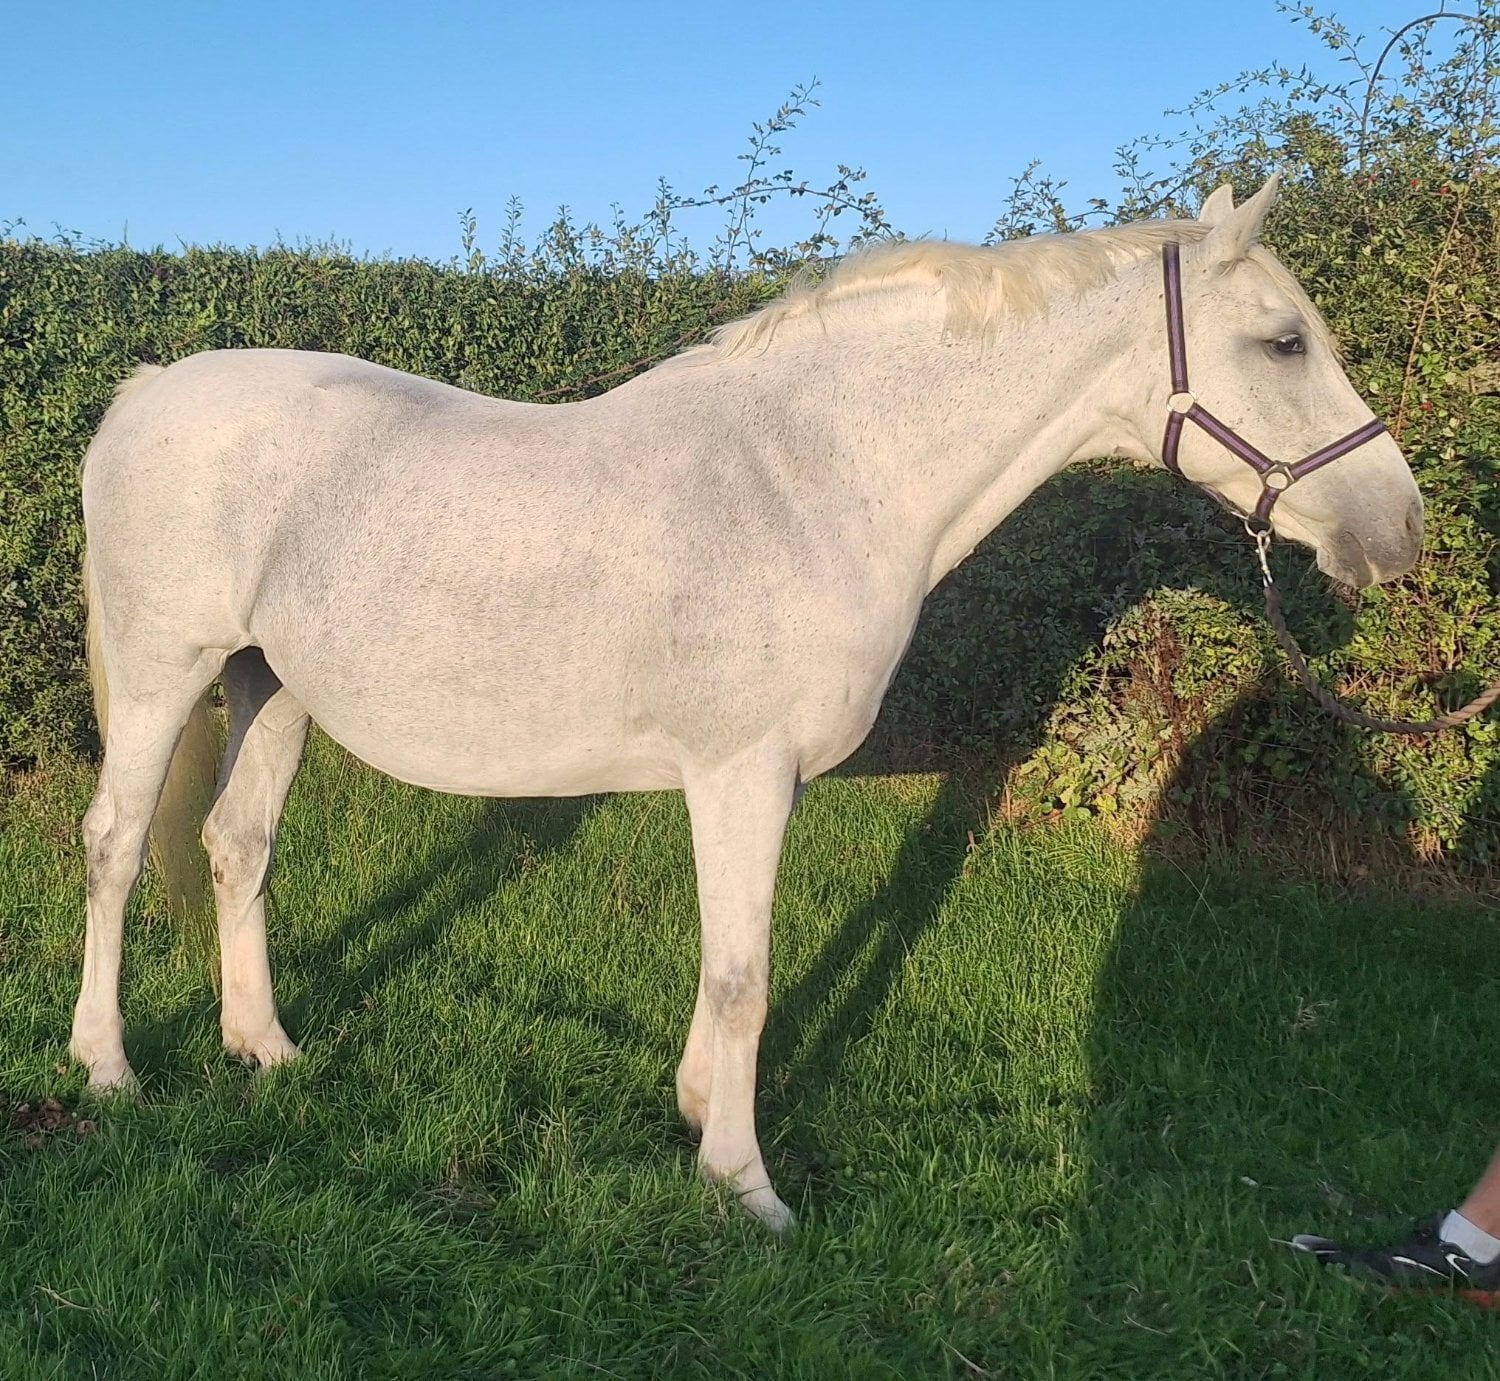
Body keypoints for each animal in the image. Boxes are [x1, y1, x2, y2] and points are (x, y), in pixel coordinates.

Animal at [71, 175, 1422, 1229]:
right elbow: (745, 975)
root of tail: (148, 391)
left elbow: (727, 962)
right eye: (1286, 342)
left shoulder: (745, 782)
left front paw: (694, 1106)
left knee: (238, 846)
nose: (1399, 531)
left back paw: (265, 1049)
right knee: (117, 846)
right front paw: (744, 1182)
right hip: (160, 671)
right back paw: (106, 1067)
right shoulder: (743, 772)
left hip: (271, 685)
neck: (809, 478)